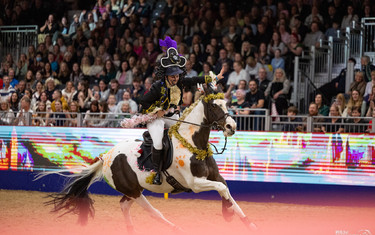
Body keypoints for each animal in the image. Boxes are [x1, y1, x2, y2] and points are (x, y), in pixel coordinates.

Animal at [39, 88, 258, 233]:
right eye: (214, 106)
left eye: (226, 104)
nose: (231, 127)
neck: (192, 143)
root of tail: (106, 157)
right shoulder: (195, 183)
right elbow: (222, 190)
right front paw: (228, 214)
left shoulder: (214, 177)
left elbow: (226, 191)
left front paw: (244, 221)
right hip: (135, 192)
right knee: (152, 212)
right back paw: (175, 228)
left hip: (134, 190)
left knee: (124, 205)